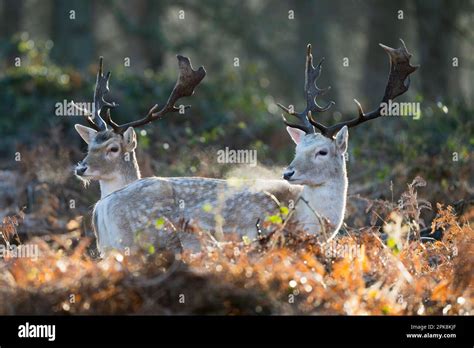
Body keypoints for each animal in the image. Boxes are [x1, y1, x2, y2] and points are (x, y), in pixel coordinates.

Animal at [81, 40, 418, 254]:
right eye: (297, 150)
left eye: (321, 151)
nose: (288, 173)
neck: (306, 222)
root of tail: (101, 208)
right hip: (139, 243)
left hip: (110, 249)